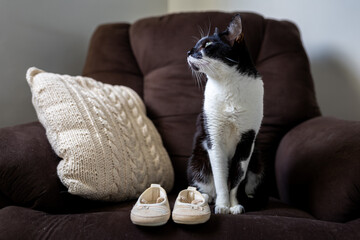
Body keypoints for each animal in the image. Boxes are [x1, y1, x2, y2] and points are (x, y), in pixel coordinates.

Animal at [187, 14, 262, 215]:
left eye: (207, 45)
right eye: (196, 44)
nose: (188, 51)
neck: (228, 83)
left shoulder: (247, 141)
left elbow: (236, 178)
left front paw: (234, 205)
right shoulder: (214, 138)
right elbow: (221, 177)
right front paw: (222, 205)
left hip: (257, 160)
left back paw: (249, 197)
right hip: (197, 159)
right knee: (204, 185)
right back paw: (205, 198)